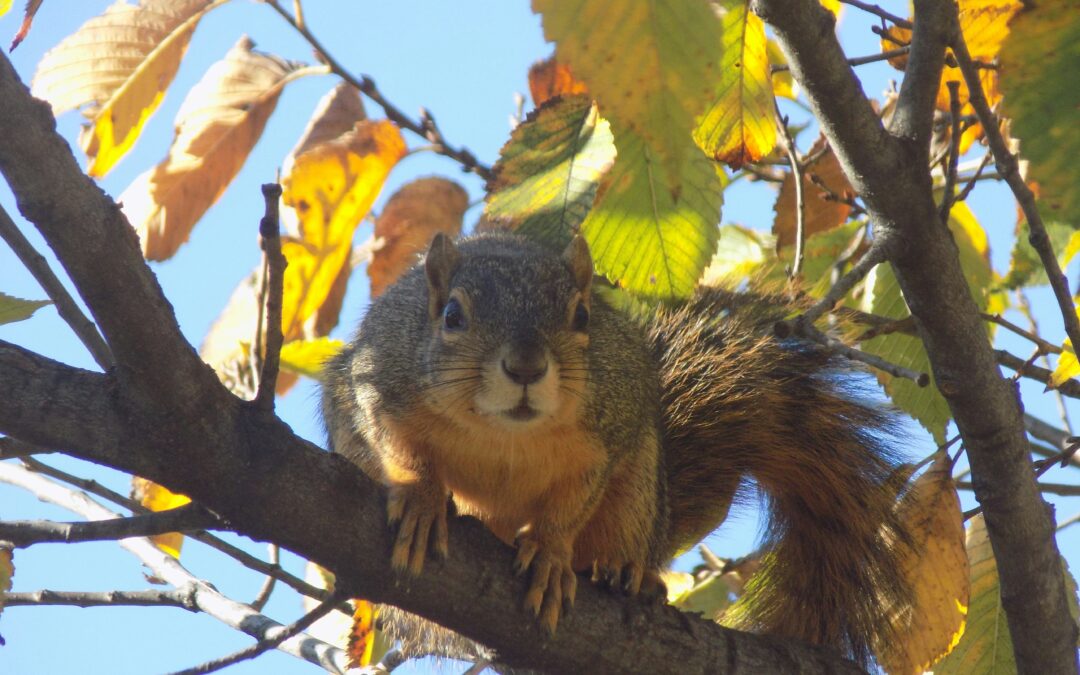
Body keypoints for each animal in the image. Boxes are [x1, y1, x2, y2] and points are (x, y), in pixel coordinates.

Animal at [322, 230, 911, 667]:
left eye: (582, 317)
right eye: (451, 316)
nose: (526, 367)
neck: (503, 432)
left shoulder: (608, 432)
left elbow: (574, 502)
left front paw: (551, 554)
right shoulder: (379, 383)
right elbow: (394, 443)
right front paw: (424, 499)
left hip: (641, 489)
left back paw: (631, 576)